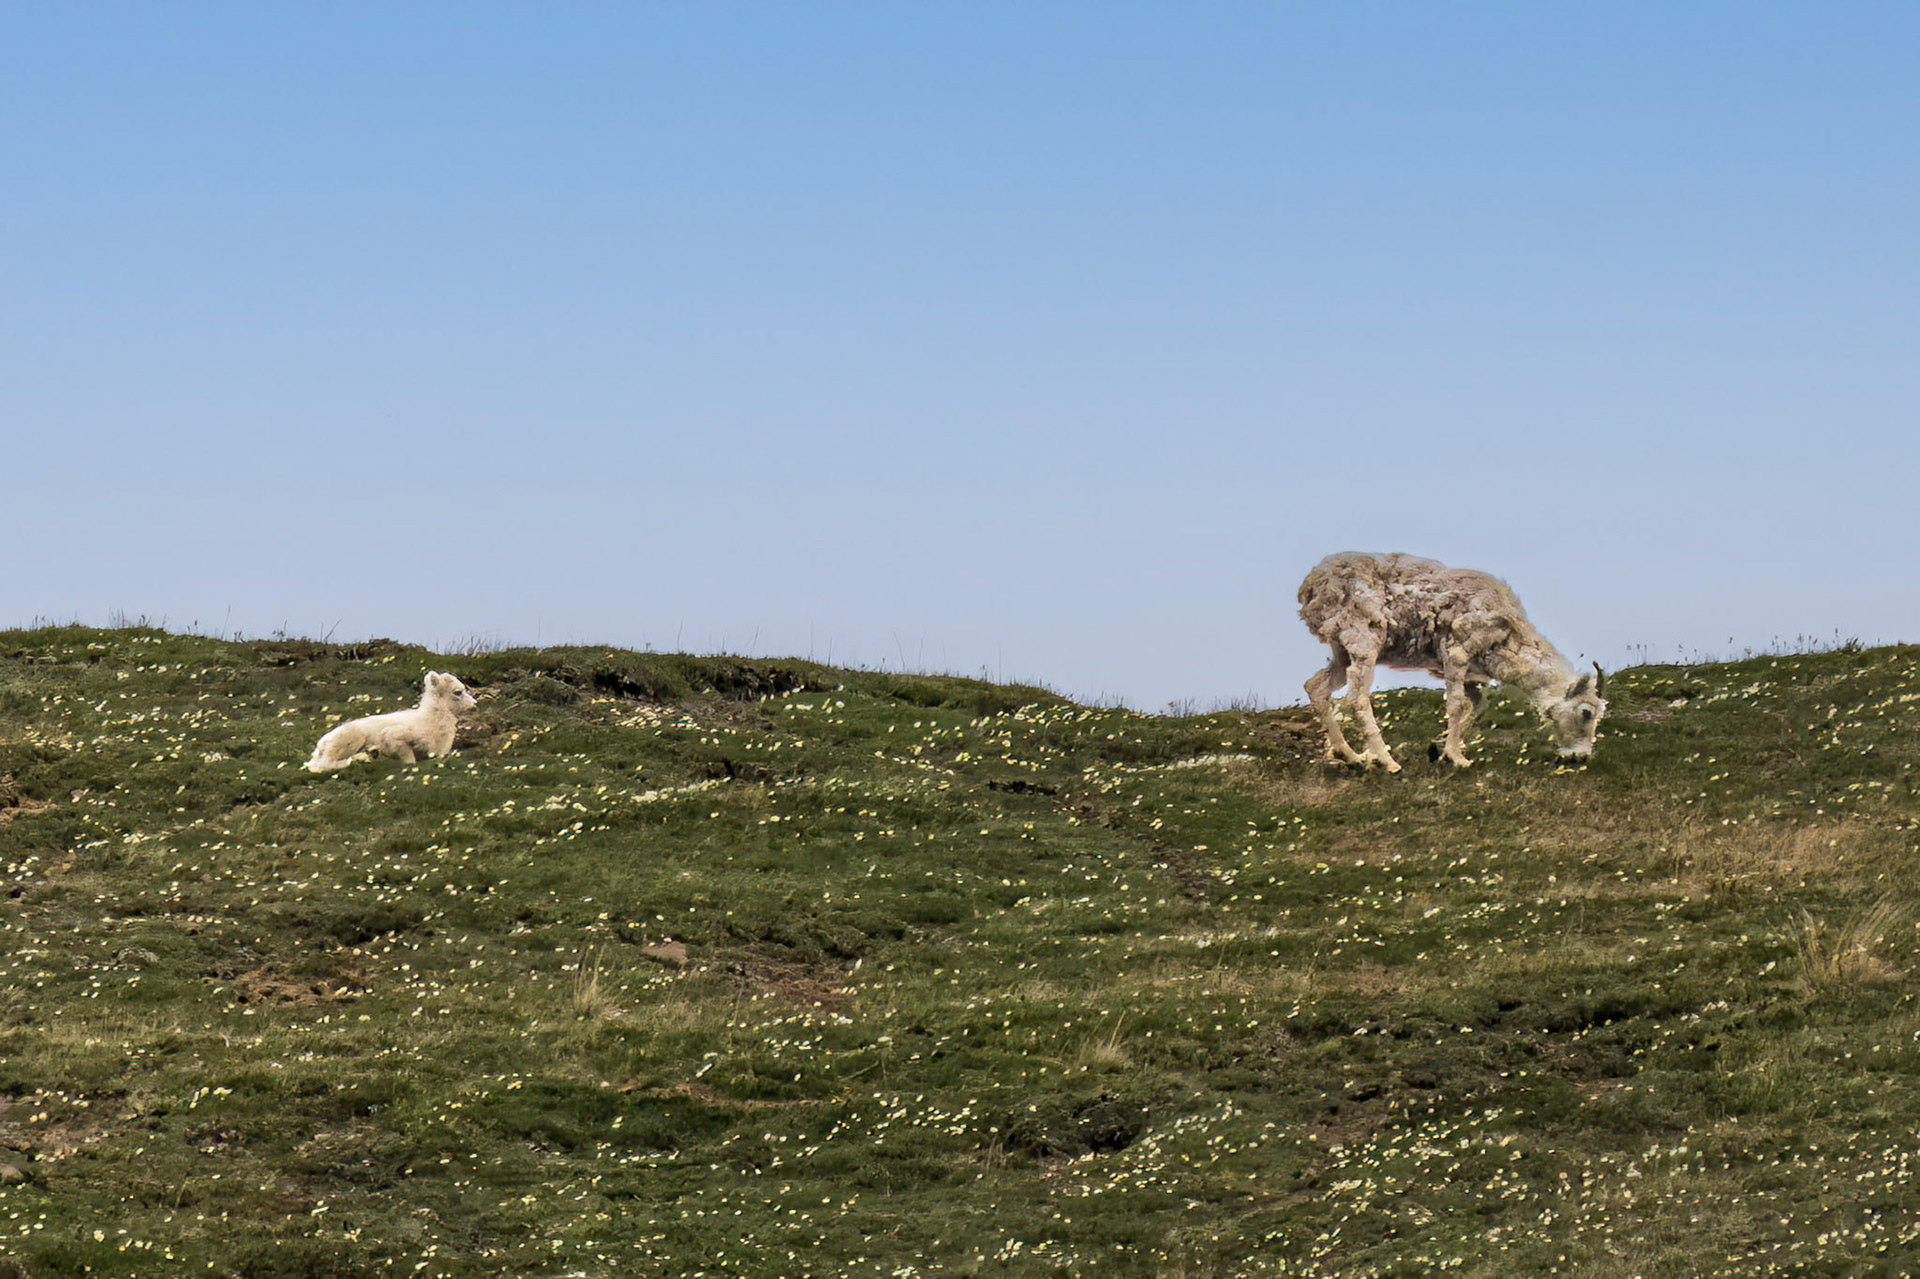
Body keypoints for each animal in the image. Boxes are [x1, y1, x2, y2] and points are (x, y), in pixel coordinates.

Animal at [305, 671, 478, 773]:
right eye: (458, 692)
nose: (474, 704)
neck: (430, 721)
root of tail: (321, 744)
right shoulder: (395, 737)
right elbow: (409, 759)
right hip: (349, 740)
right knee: (321, 766)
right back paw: (361, 758)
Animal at [1297, 552, 1606, 772]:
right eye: (1586, 712)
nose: (1581, 757)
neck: (1506, 632)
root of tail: (1312, 586)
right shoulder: (1456, 657)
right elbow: (1457, 705)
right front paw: (1457, 758)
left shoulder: (1471, 676)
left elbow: (1478, 706)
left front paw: (1443, 749)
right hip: (1364, 645)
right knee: (1356, 699)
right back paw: (1387, 762)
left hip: (1341, 653)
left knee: (1316, 687)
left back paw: (1352, 757)